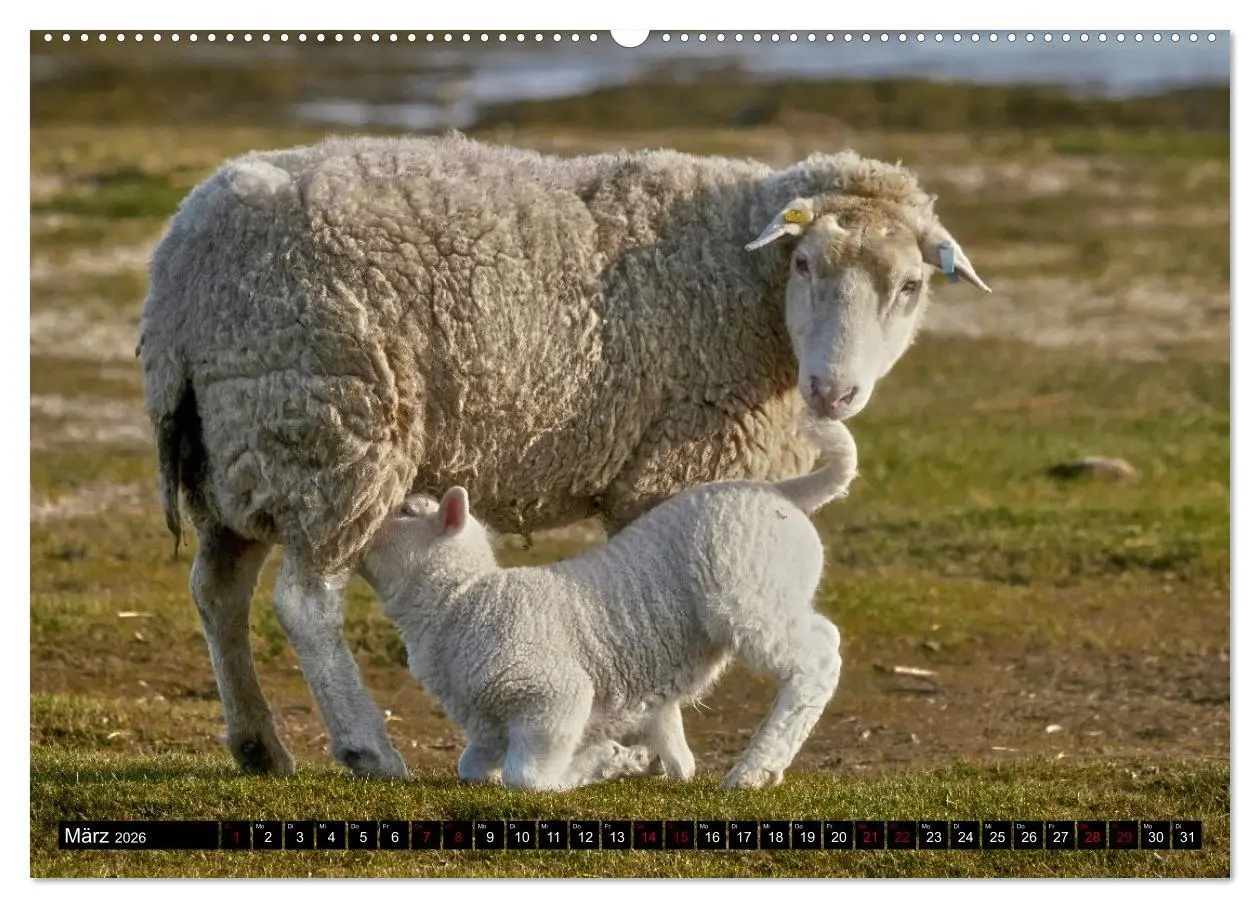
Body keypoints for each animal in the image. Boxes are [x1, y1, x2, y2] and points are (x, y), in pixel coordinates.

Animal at [358, 417, 860, 791]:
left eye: (405, 512)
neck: (458, 603)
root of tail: (783, 492)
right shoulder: (486, 725)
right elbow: (471, 768)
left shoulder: (554, 695)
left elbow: (528, 777)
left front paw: (610, 761)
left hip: (749, 592)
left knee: (817, 658)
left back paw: (755, 769)